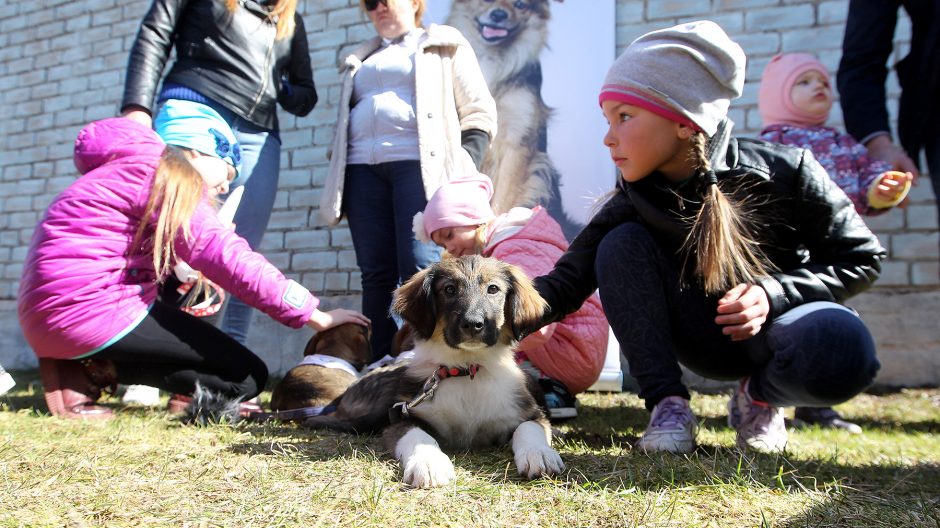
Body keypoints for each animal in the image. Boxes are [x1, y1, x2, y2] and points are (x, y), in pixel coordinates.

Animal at [304, 256, 560, 486]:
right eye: (449, 289)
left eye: (493, 289)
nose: (473, 324)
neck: (466, 370)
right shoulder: (402, 417)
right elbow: (419, 436)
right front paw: (429, 463)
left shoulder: (528, 412)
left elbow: (529, 428)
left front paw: (539, 454)